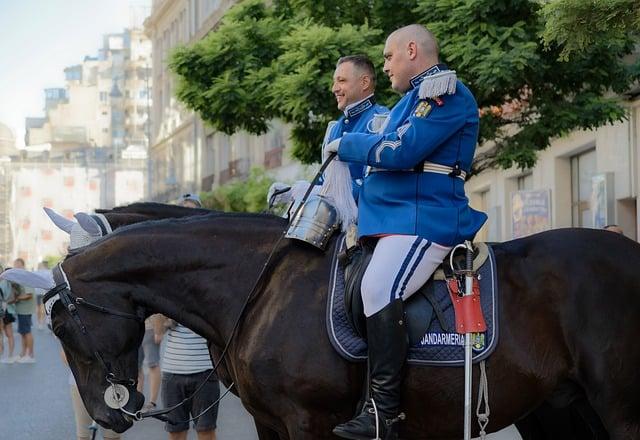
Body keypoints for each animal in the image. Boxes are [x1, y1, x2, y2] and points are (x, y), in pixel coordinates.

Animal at [21, 212, 640, 436]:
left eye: (63, 329)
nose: (106, 415)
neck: (257, 285)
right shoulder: (271, 423)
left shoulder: (307, 422)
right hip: (557, 409)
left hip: (617, 409)